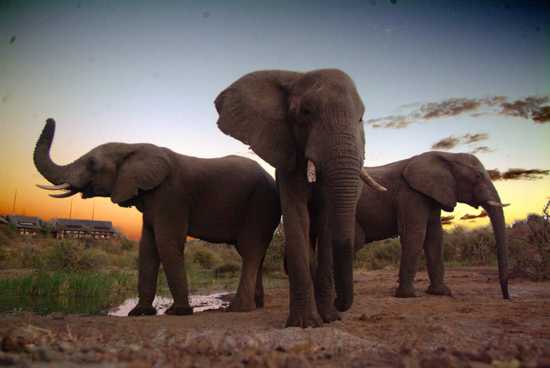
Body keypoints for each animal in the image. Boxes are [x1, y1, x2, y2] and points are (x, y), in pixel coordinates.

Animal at [33, 119, 282, 314]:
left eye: (93, 163)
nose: (50, 118)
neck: (132, 147)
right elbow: (147, 246)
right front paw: (139, 313)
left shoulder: (171, 196)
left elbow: (166, 243)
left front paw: (178, 312)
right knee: (257, 253)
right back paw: (257, 304)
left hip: (260, 204)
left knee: (250, 250)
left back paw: (239, 309)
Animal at [213, 69, 386, 328]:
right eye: (306, 112)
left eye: (361, 119)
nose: (339, 303)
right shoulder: (287, 157)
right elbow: (296, 217)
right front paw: (305, 323)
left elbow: (326, 223)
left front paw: (330, 318)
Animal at [354, 152, 512, 300]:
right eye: (477, 176)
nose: (506, 297)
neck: (446, 156)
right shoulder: (411, 194)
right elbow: (415, 234)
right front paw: (407, 295)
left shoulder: (433, 195)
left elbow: (435, 236)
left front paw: (441, 292)